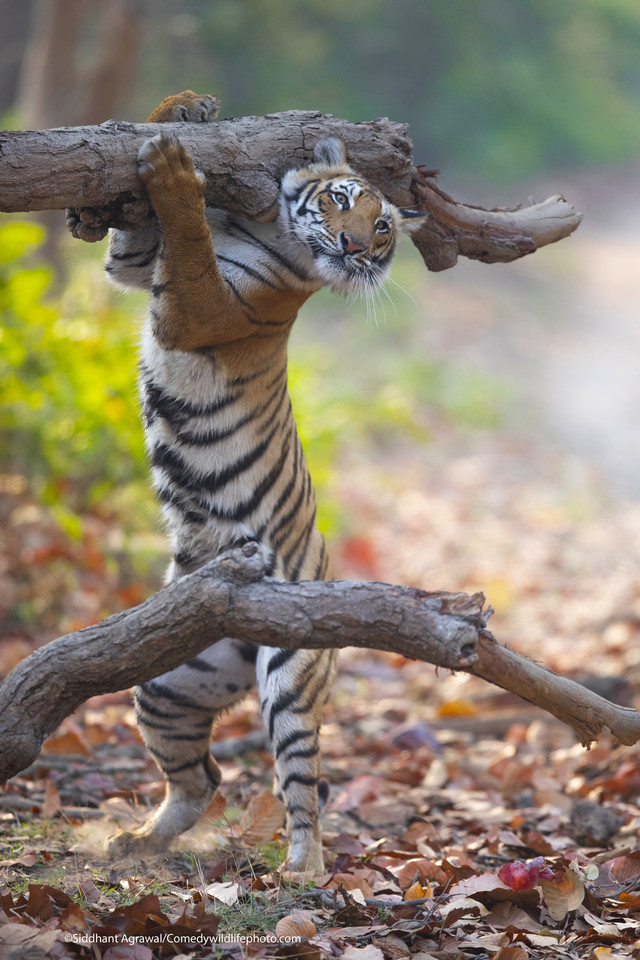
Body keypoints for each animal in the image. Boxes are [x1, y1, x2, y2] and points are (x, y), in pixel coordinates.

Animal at [96, 92, 424, 876]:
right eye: (344, 200)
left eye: (384, 227)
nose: (359, 249)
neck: (266, 225)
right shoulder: (132, 267)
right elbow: (132, 242)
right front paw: (180, 111)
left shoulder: (202, 308)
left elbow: (186, 244)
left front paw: (175, 171)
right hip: (165, 681)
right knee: (202, 777)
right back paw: (137, 841)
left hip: (290, 677)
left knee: (300, 786)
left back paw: (298, 872)